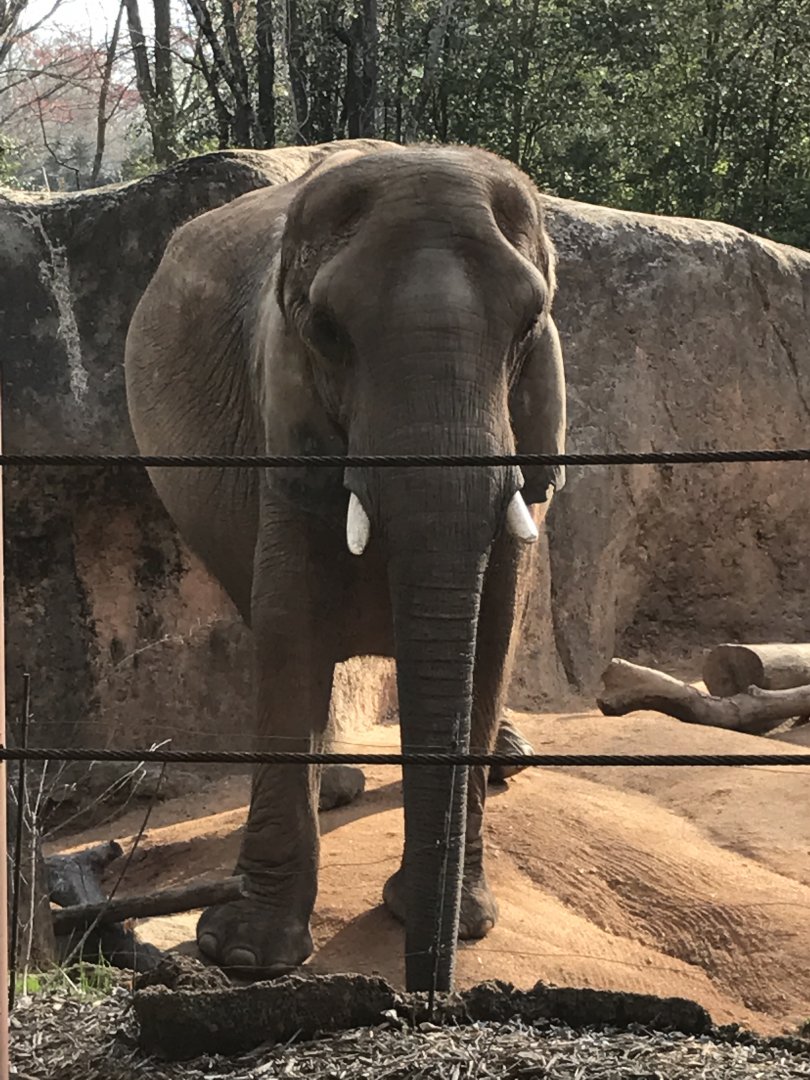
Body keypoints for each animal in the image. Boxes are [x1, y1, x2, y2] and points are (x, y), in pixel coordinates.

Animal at [124, 139, 566, 992]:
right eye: (326, 329)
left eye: (531, 323)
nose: (429, 988)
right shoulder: (280, 417)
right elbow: (290, 617)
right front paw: (243, 954)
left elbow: (494, 625)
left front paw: (464, 921)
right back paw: (336, 790)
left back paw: (508, 762)